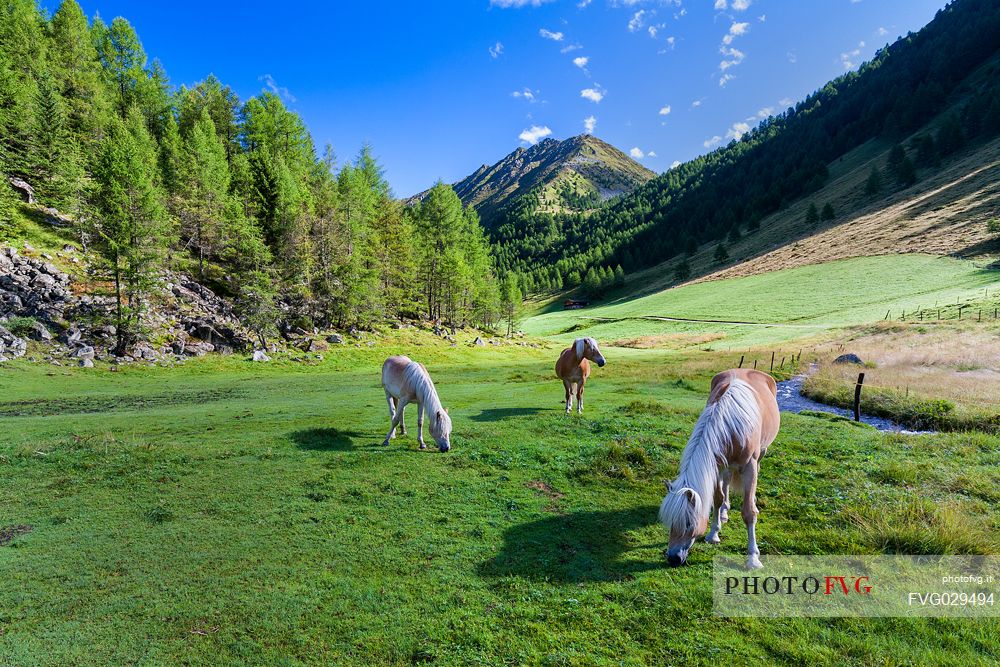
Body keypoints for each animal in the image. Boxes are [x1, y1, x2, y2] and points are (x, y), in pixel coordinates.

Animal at [660, 370, 784, 568]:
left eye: (688, 523)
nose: (673, 558)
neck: (733, 425)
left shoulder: (749, 467)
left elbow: (748, 513)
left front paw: (753, 557)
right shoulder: (716, 466)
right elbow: (717, 498)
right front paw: (713, 534)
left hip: (761, 453)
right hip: (725, 466)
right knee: (726, 483)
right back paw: (725, 511)